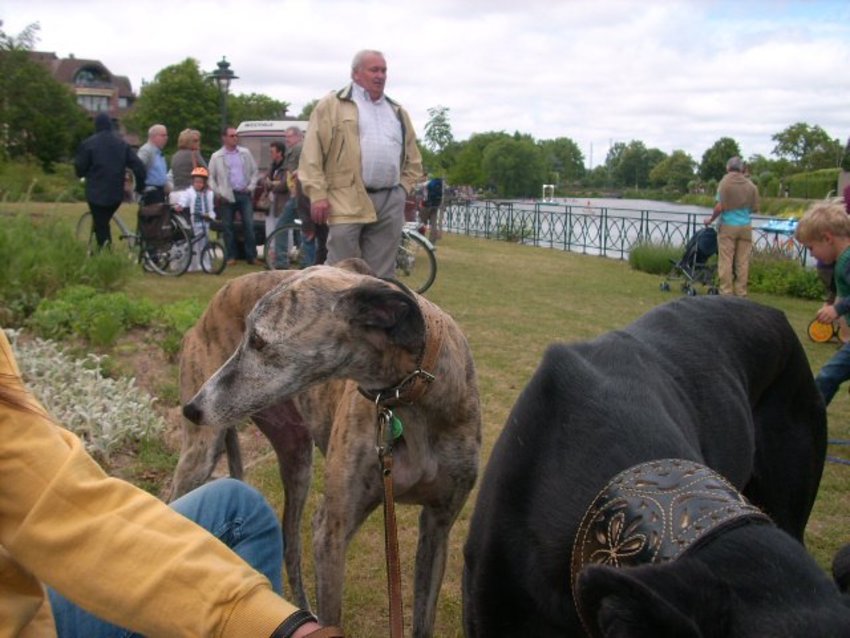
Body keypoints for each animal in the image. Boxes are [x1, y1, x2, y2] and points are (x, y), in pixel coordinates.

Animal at [176, 262, 481, 638]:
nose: (192, 409)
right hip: (201, 453)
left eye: (259, 340)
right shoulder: (332, 529)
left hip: (298, 460)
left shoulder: (438, 525)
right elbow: (332, 614)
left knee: (290, 545)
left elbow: (424, 618)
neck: (406, 399)